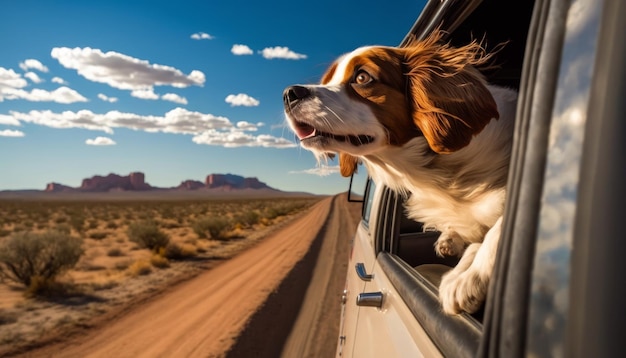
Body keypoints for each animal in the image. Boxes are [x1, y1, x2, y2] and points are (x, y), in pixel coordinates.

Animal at [282, 32, 516, 314]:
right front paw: (459, 268)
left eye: (362, 77)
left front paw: (470, 277)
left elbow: (499, 227)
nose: (289, 93)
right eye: (328, 80)